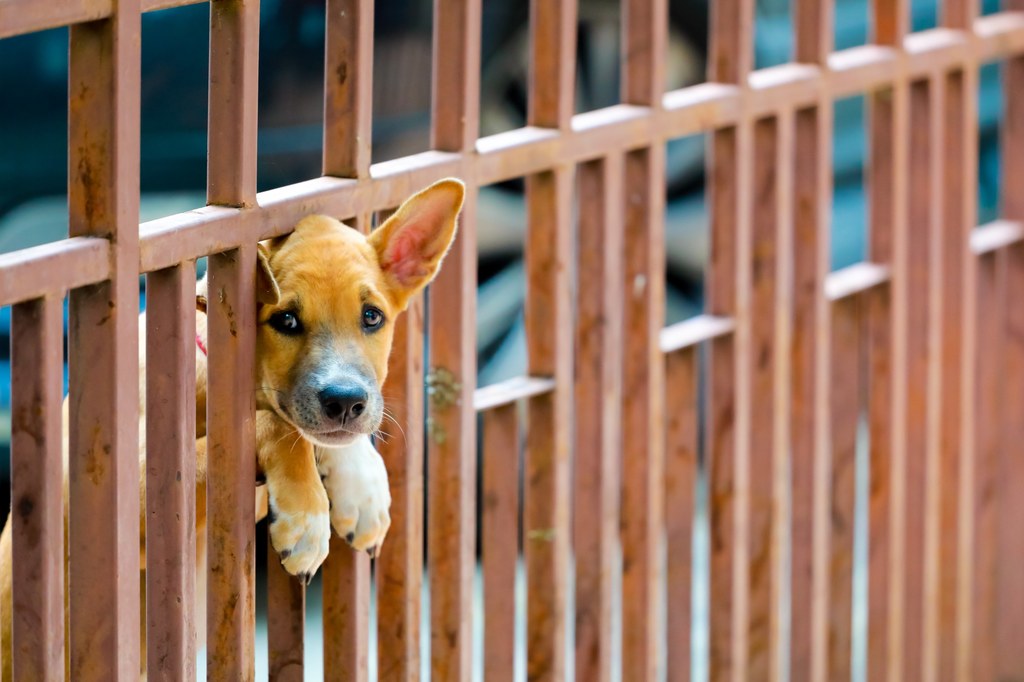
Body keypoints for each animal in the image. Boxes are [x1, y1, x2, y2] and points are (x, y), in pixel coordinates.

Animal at [0, 176, 464, 675]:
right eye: (285, 319)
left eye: (372, 316)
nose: (345, 402)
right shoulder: (112, 508)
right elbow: (277, 425)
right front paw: (308, 517)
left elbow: (313, 432)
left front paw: (363, 490)